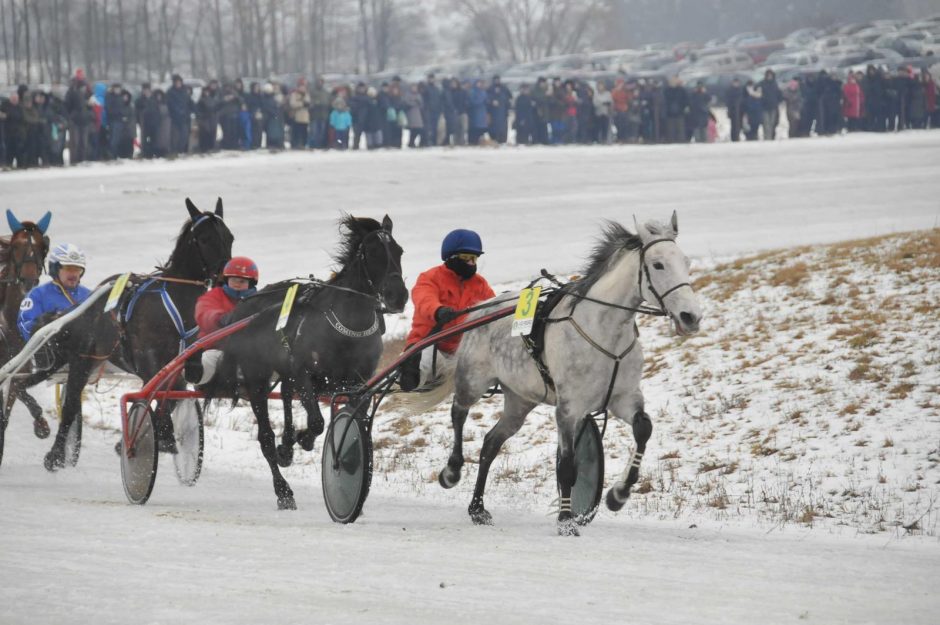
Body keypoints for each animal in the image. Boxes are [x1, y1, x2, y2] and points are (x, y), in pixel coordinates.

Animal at [206, 214, 408, 508]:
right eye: (372, 253)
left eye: (399, 251)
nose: (398, 296)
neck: (346, 326)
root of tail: (243, 309)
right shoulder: (304, 373)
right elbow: (316, 422)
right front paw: (303, 439)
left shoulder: (357, 382)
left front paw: (300, 443)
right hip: (257, 379)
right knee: (266, 436)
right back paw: (283, 489)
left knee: (285, 394)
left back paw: (287, 445)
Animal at [436, 212, 700, 532]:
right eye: (658, 264)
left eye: (686, 262)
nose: (691, 316)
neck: (604, 330)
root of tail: (481, 308)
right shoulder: (569, 408)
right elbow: (567, 466)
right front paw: (566, 520)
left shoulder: (624, 397)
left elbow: (643, 429)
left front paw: (618, 494)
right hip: (473, 379)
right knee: (459, 412)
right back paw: (451, 471)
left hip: (520, 400)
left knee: (490, 444)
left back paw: (477, 508)